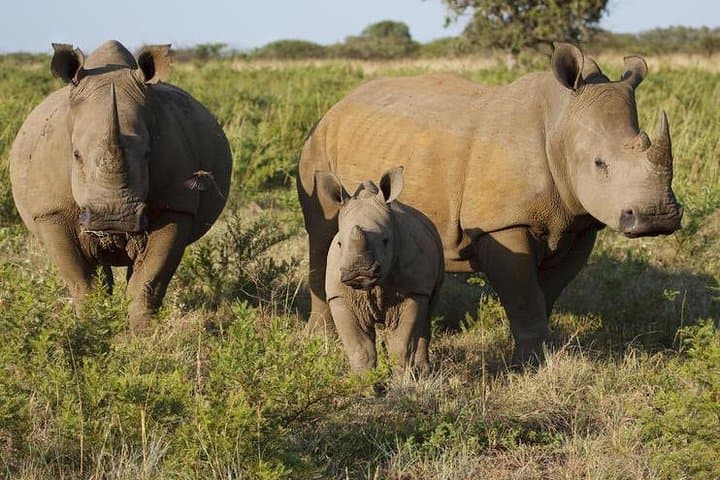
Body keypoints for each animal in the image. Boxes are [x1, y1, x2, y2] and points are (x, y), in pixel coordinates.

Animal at [10, 40, 231, 331]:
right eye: (76, 155)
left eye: (148, 154)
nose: (114, 218)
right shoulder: (51, 211)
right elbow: (82, 281)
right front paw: (91, 330)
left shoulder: (176, 205)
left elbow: (148, 279)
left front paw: (143, 335)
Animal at [319, 167, 444, 375]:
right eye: (339, 243)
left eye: (386, 240)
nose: (359, 272)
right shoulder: (340, 296)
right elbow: (360, 349)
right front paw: (364, 381)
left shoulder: (414, 291)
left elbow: (401, 345)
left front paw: (402, 380)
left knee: (428, 311)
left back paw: (423, 372)